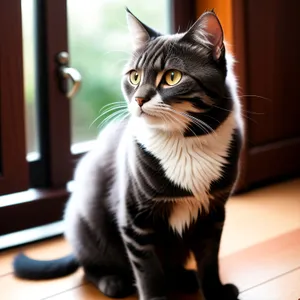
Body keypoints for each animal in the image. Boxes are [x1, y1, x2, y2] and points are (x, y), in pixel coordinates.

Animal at [13, 7, 244, 300]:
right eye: (134, 76)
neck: (184, 142)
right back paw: (111, 281)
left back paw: (185, 277)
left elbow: (209, 259)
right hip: (84, 224)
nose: (139, 99)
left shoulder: (213, 215)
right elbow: (148, 270)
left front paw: (215, 291)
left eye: (172, 77)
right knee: (89, 266)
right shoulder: (134, 219)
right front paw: (155, 296)